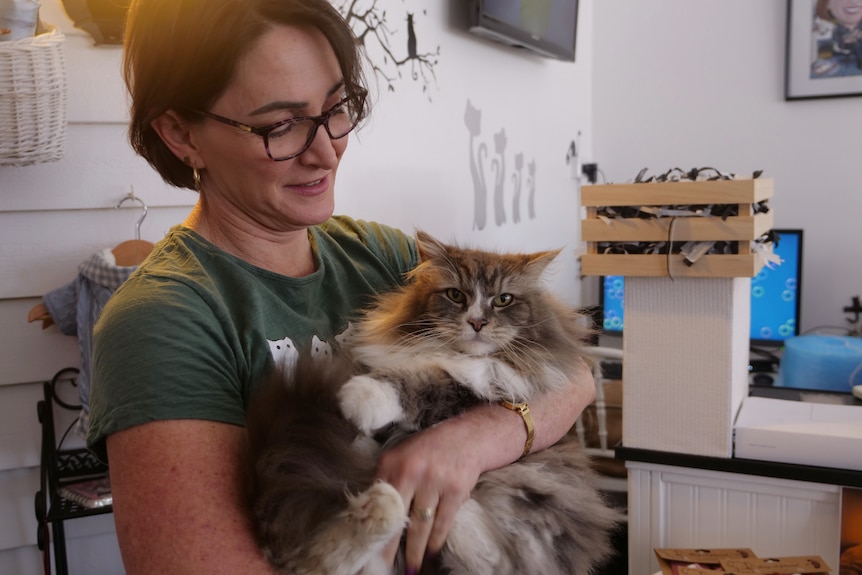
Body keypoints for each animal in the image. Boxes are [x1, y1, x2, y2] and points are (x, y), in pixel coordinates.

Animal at [246, 232, 624, 572]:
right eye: (456, 295)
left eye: (503, 300)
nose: (477, 322)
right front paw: (359, 431)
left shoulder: (479, 388)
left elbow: (426, 382)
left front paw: (361, 397)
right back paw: (379, 503)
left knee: (491, 554)